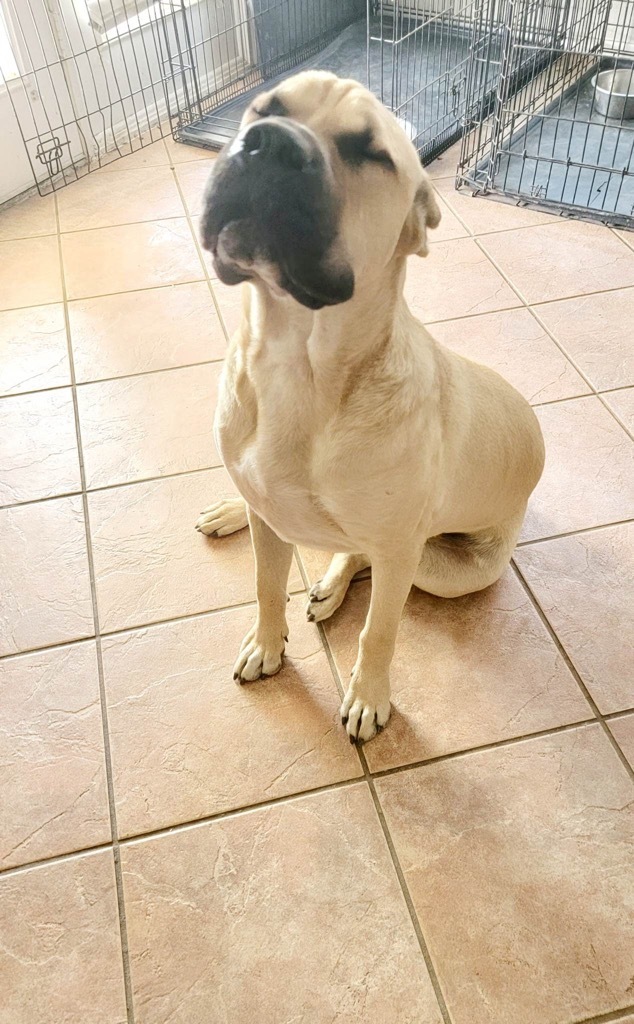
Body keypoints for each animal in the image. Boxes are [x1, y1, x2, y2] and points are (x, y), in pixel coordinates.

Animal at [197, 72, 544, 745]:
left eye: (372, 152)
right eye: (265, 108)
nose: (270, 143)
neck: (298, 365)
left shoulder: (397, 550)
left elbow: (379, 631)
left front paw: (368, 696)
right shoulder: (270, 519)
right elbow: (265, 584)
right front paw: (267, 642)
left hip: (444, 568)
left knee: (362, 556)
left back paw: (331, 590)